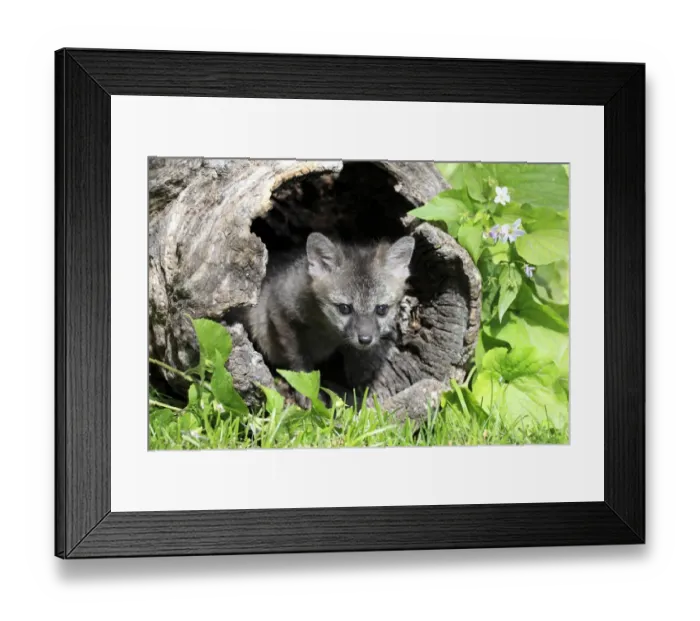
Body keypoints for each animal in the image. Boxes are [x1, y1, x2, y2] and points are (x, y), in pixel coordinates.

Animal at [244, 232, 415, 399]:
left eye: (381, 309)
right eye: (344, 308)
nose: (365, 339)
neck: (325, 331)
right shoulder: (279, 310)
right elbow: (299, 361)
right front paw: (307, 393)